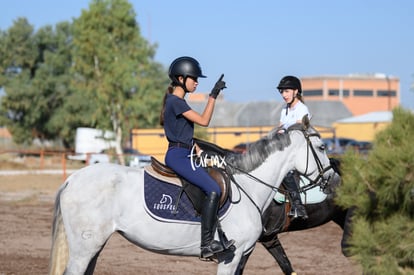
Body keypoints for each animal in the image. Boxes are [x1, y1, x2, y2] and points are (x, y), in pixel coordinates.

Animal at [48, 122, 334, 274]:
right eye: (322, 147)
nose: (334, 179)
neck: (249, 187)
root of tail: (73, 179)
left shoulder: (246, 252)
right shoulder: (232, 257)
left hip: (94, 247)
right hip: (84, 248)